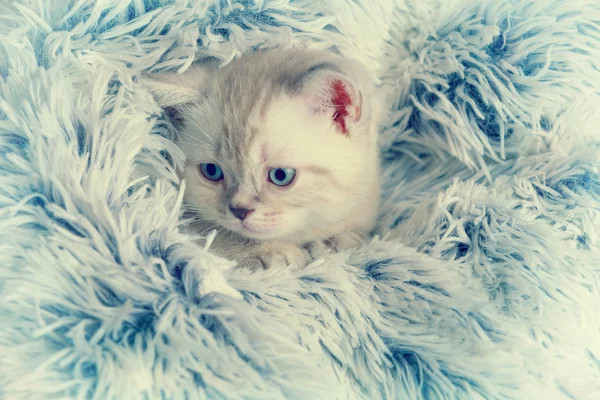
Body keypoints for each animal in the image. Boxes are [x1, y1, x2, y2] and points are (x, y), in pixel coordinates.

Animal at [142, 48, 380, 270]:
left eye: (281, 175)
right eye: (212, 171)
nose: (240, 211)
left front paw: (334, 242)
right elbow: (214, 234)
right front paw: (270, 252)